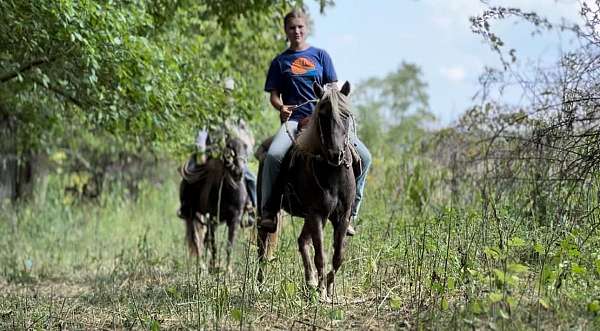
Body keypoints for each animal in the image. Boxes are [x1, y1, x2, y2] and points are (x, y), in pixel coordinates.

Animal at [182, 136, 250, 272]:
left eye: (245, 148)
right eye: (230, 148)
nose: (238, 173)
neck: (226, 191)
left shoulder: (235, 219)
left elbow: (229, 245)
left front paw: (228, 270)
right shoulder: (212, 219)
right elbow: (213, 244)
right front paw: (214, 266)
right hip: (192, 215)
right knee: (197, 239)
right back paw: (202, 266)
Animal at [256, 82, 356, 300]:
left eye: (346, 114)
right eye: (323, 115)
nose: (336, 154)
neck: (331, 170)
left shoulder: (341, 216)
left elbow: (338, 256)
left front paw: (328, 287)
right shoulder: (317, 214)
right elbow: (321, 255)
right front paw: (321, 292)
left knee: (302, 241)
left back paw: (310, 281)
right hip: (265, 211)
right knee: (262, 246)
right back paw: (259, 284)